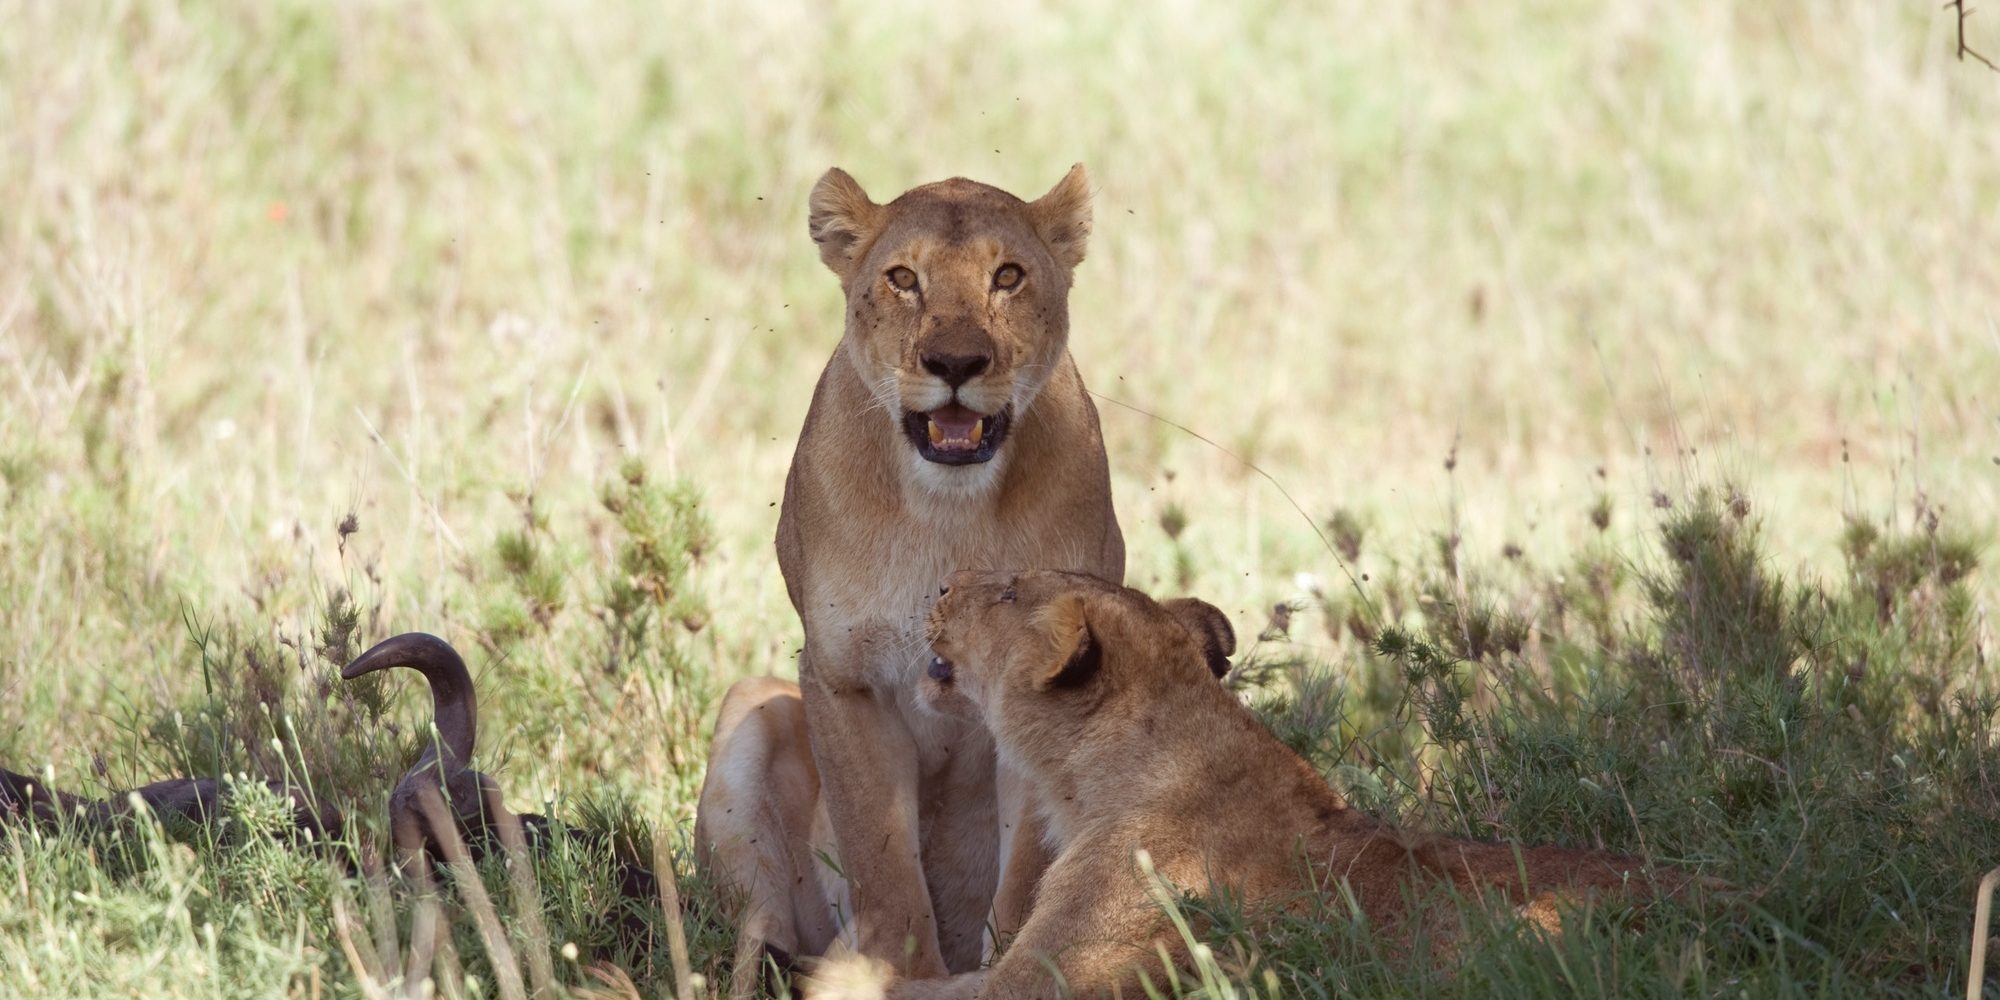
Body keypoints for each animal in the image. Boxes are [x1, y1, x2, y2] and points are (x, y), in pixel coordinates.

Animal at [694, 167, 1125, 993]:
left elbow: (1027, 871)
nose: (955, 364)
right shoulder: (843, 677)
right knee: (755, 931)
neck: (947, 510)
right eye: (902, 279)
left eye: (1007, 276)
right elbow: (882, 856)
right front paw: (898, 976)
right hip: (752, 711)